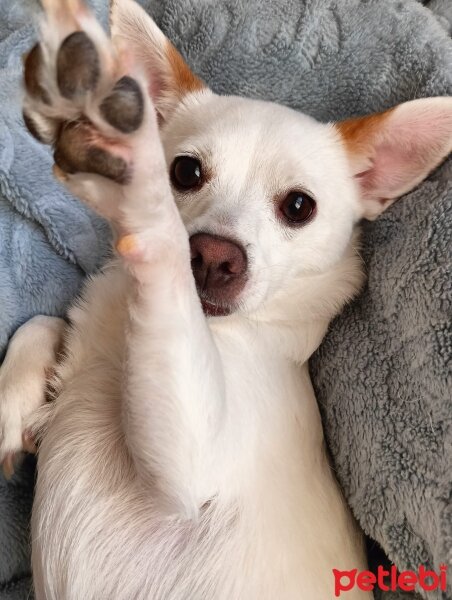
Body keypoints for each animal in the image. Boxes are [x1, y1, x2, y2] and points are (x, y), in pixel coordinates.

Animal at [0, 2, 452, 596]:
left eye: (299, 207)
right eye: (187, 171)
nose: (214, 256)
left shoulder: (194, 461)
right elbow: (40, 321)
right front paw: (14, 400)